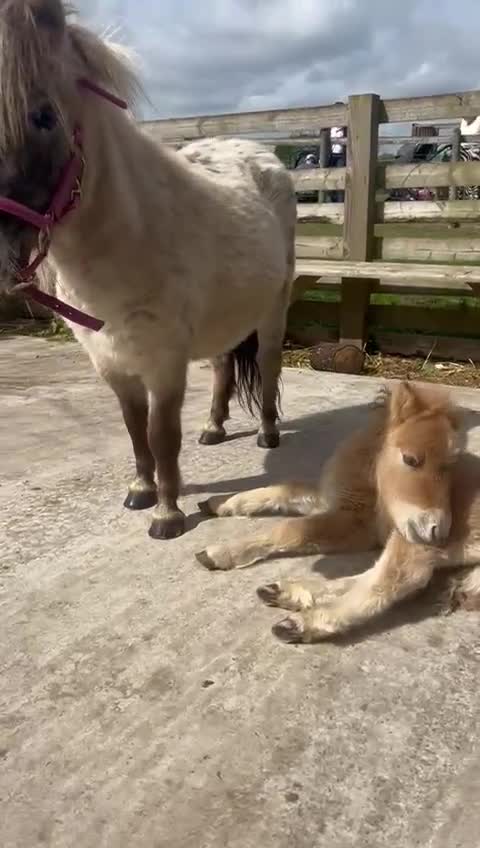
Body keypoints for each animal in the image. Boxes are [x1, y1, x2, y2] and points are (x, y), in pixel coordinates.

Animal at [0, 0, 297, 540]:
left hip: (273, 311)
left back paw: (267, 433)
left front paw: (168, 513)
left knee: (267, 365)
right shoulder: (111, 363)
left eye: (44, 116)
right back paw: (214, 428)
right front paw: (141, 491)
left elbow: (161, 436)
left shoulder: (164, 363)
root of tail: (255, 153)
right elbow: (135, 429)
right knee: (222, 365)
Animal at [195, 381, 480, 643]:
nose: (438, 531)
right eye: (410, 459)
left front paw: (221, 552)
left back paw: (301, 623)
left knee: (393, 581)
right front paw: (220, 502)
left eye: (451, 466)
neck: (370, 479)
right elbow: (285, 490)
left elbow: (291, 529)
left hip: (414, 541)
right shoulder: (333, 500)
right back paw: (286, 592)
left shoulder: (358, 524)